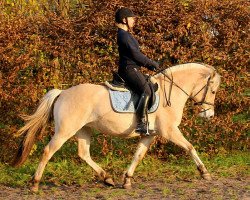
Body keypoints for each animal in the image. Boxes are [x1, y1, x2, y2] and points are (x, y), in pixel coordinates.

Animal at [12, 63, 222, 192]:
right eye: (212, 91)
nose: (209, 115)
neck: (169, 92)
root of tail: (62, 92)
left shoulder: (149, 135)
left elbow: (138, 155)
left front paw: (127, 180)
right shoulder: (169, 131)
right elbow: (190, 147)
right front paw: (204, 173)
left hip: (83, 130)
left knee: (83, 153)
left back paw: (107, 178)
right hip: (65, 131)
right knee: (49, 151)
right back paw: (35, 184)